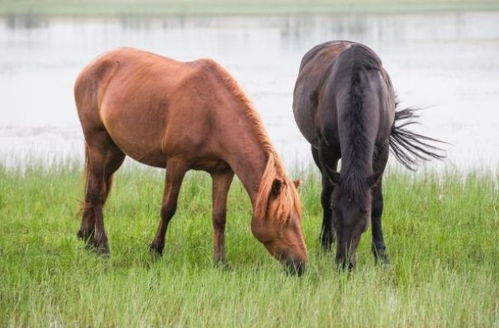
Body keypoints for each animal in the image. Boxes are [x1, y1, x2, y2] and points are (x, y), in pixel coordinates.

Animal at [74, 47, 308, 272]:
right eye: (285, 220)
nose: (300, 266)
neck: (213, 114)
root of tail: (90, 67)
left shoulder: (223, 171)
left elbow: (219, 216)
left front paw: (221, 262)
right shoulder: (177, 163)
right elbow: (168, 208)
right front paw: (155, 250)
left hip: (114, 153)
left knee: (96, 188)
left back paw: (87, 238)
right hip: (97, 143)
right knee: (96, 192)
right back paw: (102, 246)